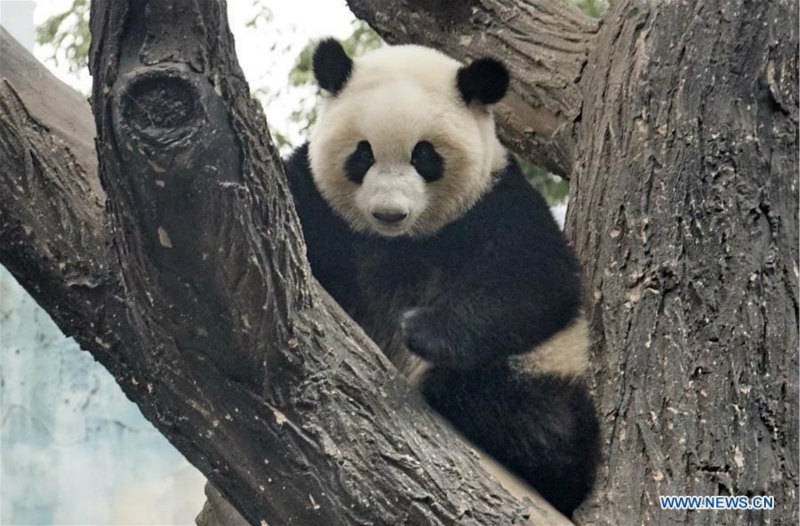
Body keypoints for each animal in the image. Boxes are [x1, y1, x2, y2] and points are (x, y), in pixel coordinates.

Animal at [283, 39, 600, 517]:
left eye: (424, 155)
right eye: (363, 154)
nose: (389, 213)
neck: (399, 243)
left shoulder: (494, 202)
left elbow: (537, 280)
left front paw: (420, 328)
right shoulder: (319, 204)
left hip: (547, 362)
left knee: (539, 419)